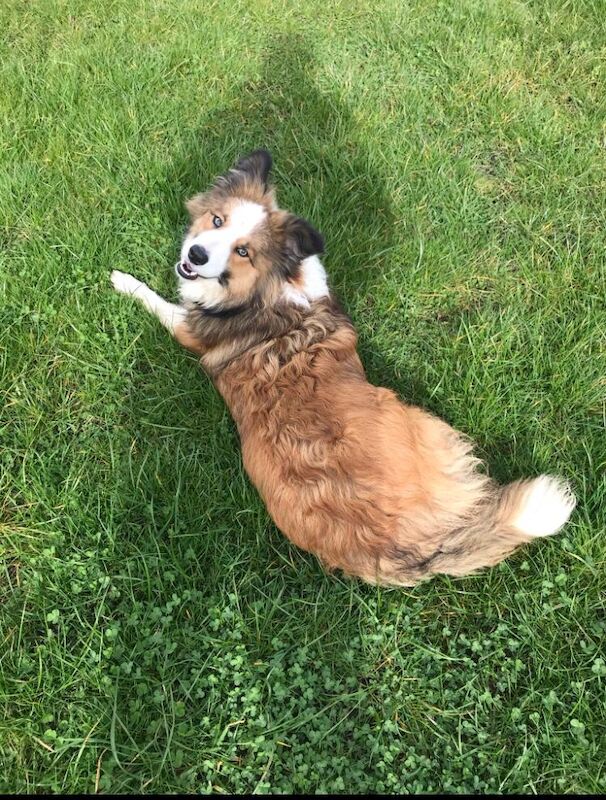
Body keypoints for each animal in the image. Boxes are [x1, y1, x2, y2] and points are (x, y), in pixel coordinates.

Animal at [110, 152, 580, 588]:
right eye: (217, 219)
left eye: (243, 251)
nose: (195, 254)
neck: (272, 287)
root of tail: (405, 550)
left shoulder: (188, 329)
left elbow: (156, 300)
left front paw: (122, 280)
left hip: (417, 417)